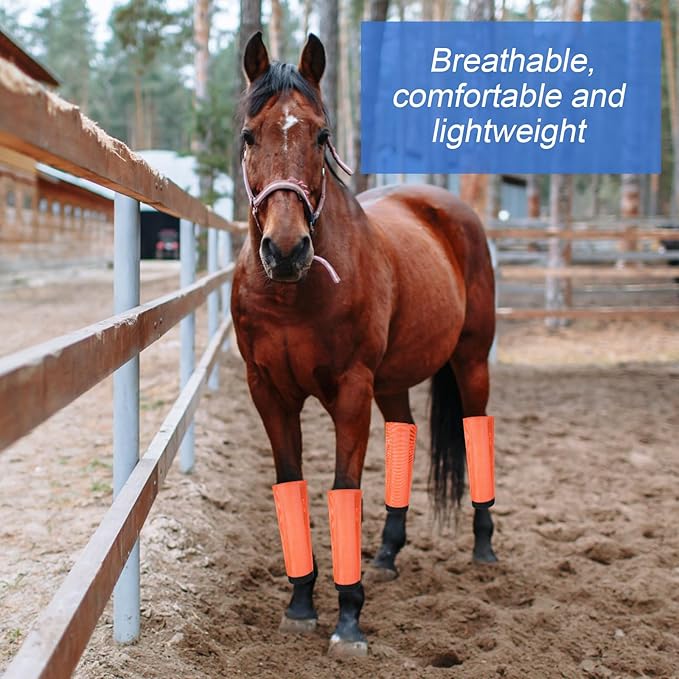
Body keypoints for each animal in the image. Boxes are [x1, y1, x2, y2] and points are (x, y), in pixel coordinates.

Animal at [231, 32, 497, 656]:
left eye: (321, 135)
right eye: (249, 135)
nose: (285, 250)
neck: (292, 293)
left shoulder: (350, 392)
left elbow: (342, 489)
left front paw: (348, 618)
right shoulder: (269, 393)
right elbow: (292, 485)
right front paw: (300, 604)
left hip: (471, 360)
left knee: (476, 428)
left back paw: (483, 545)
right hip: (393, 381)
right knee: (405, 431)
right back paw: (387, 553)